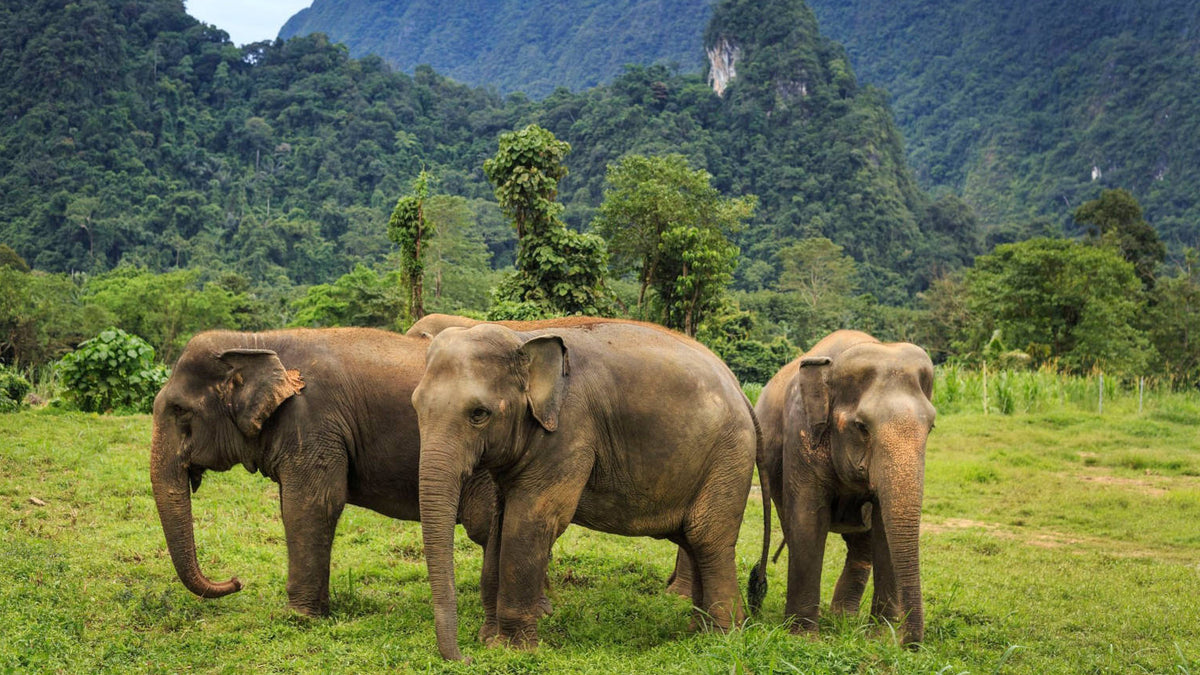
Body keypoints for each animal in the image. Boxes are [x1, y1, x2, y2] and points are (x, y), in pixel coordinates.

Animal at [149, 328, 502, 617]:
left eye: (180, 410)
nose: (236, 581)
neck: (256, 341)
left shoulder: (313, 421)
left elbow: (311, 504)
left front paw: (301, 616)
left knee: (483, 525)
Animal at [412, 321, 770, 660]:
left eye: (479, 414)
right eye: (416, 406)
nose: (463, 658)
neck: (523, 339)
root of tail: (741, 393)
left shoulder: (569, 432)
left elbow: (531, 522)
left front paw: (509, 649)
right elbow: (501, 524)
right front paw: (489, 639)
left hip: (728, 458)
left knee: (708, 539)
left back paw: (721, 636)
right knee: (693, 540)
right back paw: (698, 631)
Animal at [756, 330, 935, 645]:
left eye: (931, 427)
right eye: (862, 427)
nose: (908, 645)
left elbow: (884, 528)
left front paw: (880, 636)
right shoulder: (801, 433)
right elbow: (807, 520)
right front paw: (804, 638)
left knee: (861, 545)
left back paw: (844, 619)